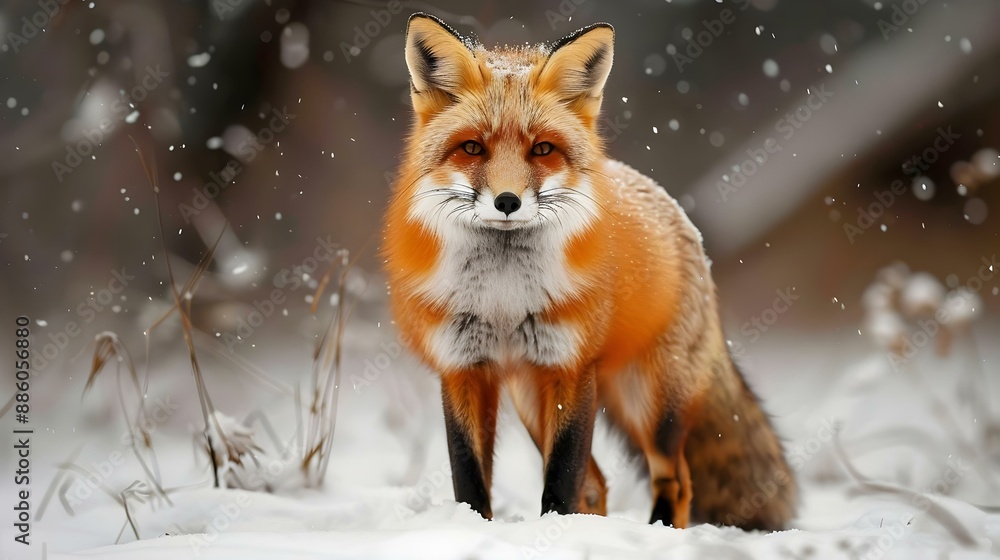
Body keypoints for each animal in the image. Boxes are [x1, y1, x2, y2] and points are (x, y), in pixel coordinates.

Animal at [382, 13, 796, 531]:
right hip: (531, 397)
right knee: (598, 482)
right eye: (472, 148)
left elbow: (561, 480)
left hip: (651, 404)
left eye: (542, 149)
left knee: (676, 479)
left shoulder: (571, 367)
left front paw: (553, 531)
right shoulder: (462, 368)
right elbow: (470, 480)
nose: (507, 201)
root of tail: (676, 212)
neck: (503, 297)